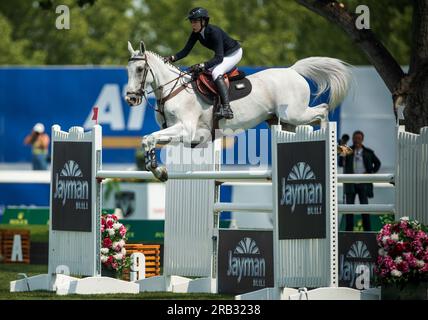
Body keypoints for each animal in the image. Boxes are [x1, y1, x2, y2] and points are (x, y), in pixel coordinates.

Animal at [126, 40, 352, 181]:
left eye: (140, 69)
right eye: (127, 70)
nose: (130, 98)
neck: (173, 91)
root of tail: (293, 71)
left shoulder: (187, 130)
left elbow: (149, 137)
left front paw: (158, 170)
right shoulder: (184, 134)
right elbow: (149, 139)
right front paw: (158, 170)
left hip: (294, 113)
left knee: (322, 110)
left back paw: (337, 147)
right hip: (285, 121)